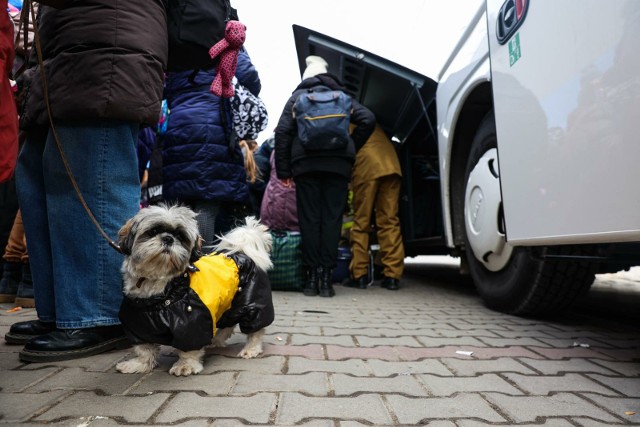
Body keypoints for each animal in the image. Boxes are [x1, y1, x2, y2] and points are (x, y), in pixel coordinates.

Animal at [115, 206, 276, 376]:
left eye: (180, 236)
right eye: (153, 231)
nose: (168, 239)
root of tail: (242, 252)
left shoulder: (191, 326)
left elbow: (189, 349)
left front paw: (186, 365)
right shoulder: (138, 325)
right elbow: (144, 349)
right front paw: (139, 364)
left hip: (253, 304)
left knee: (255, 330)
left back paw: (251, 349)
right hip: (227, 304)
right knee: (228, 324)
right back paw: (216, 340)